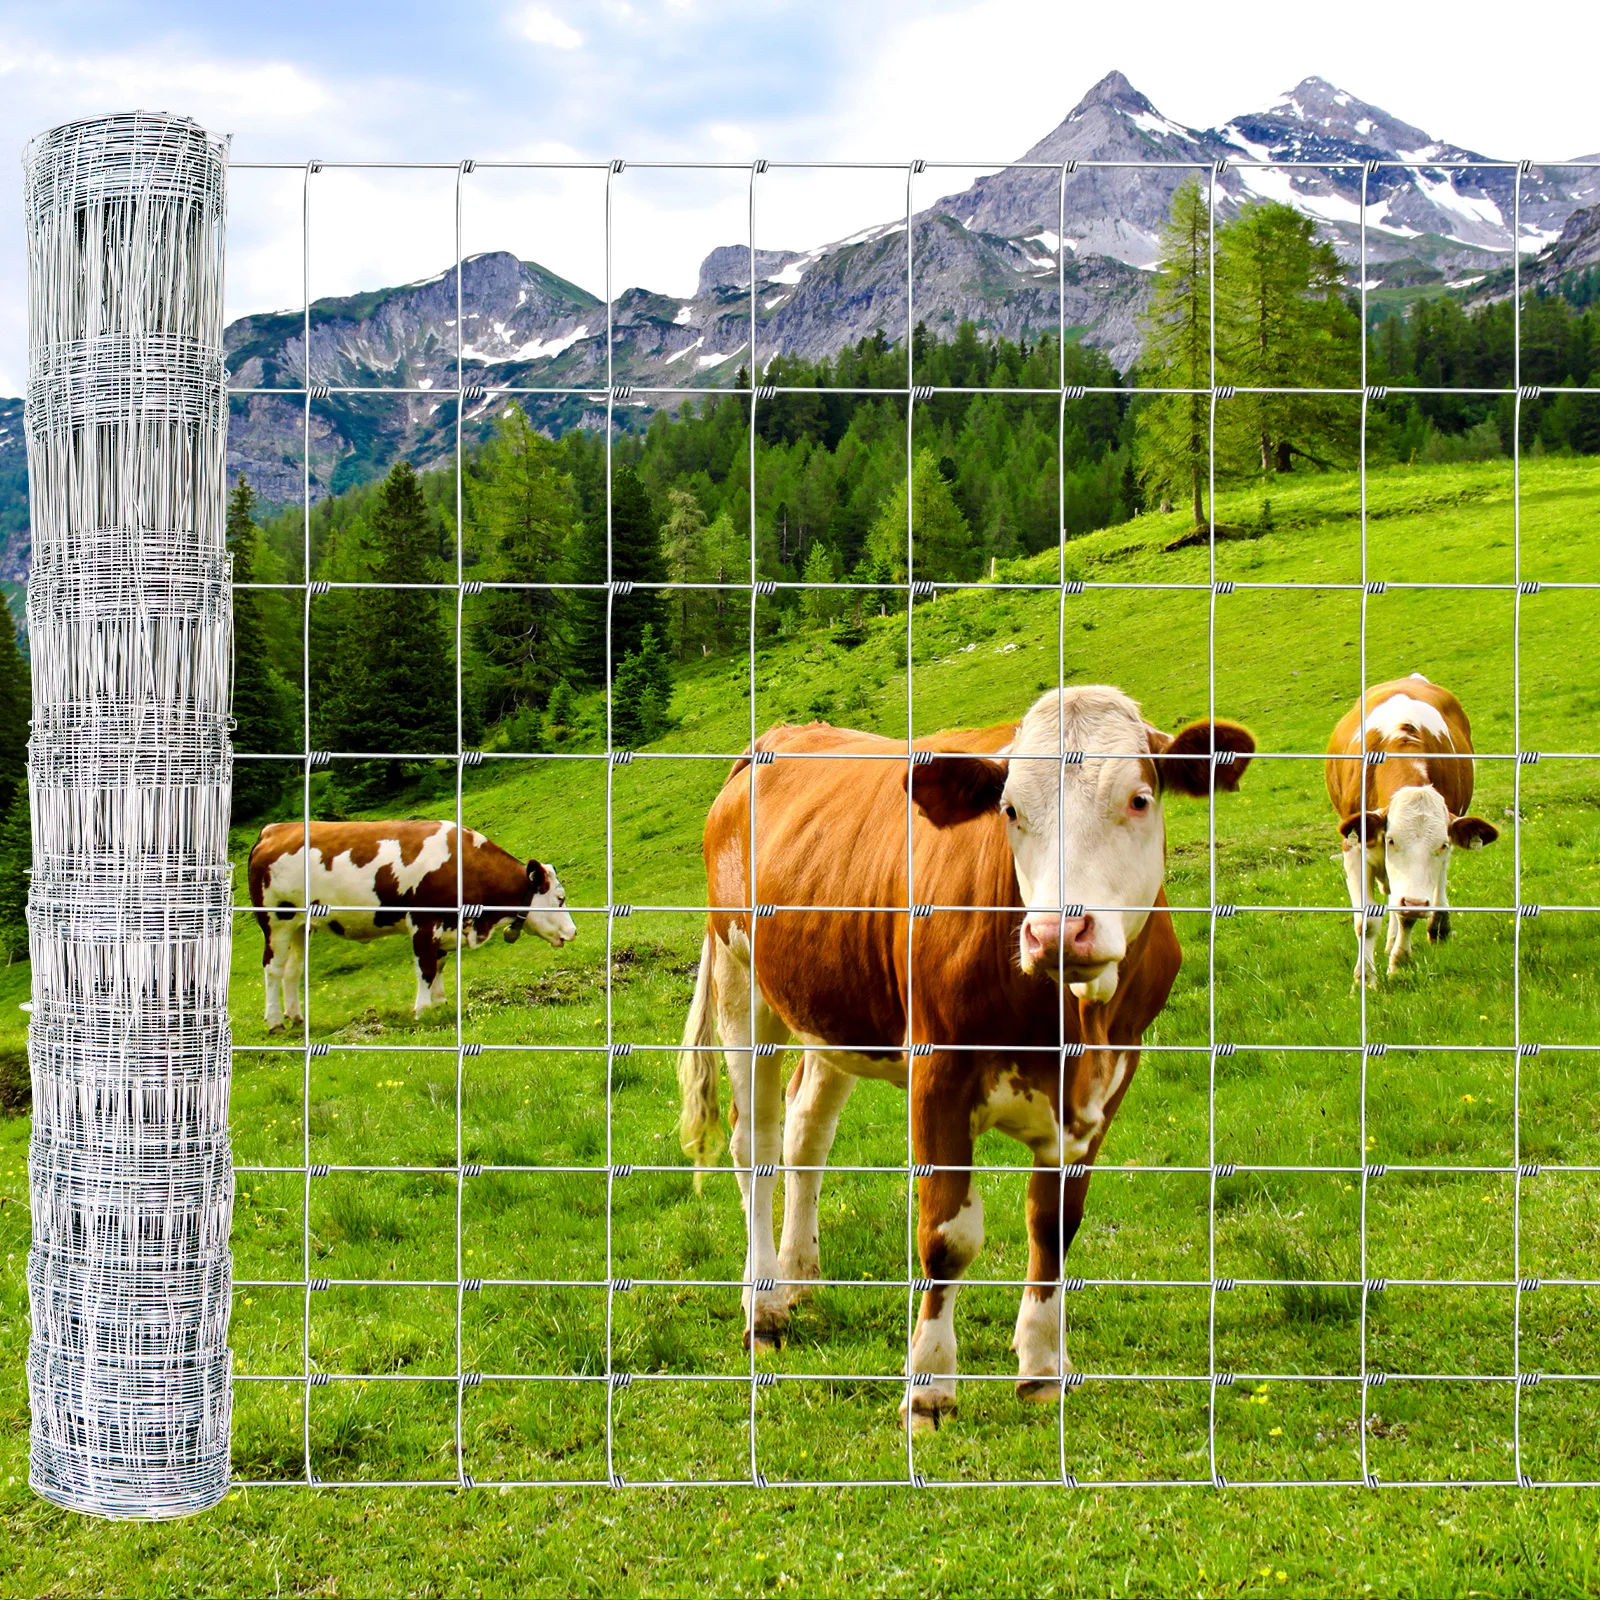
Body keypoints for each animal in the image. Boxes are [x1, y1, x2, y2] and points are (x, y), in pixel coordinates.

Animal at [248, 819, 577, 1030]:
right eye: (560, 898)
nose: (573, 932)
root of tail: (273, 830)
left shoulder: (445, 926)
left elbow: (440, 964)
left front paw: (440, 1002)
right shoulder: (423, 921)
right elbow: (426, 968)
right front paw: (422, 1010)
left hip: (300, 926)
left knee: (292, 970)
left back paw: (296, 1017)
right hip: (275, 920)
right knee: (272, 969)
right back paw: (275, 1022)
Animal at [674, 686, 1255, 1430]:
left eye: (1139, 799)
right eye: (1010, 810)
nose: (1056, 931)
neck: (1068, 1023)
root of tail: (779, 734)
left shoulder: (1107, 1082)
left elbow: (1054, 1224)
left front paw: (1042, 1367)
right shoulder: (938, 1075)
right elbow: (946, 1237)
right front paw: (929, 1390)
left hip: (831, 1004)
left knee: (808, 1132)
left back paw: (800, 1276)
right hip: (741, 978)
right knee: (758, 1145)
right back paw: (765, 1306)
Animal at [1326, 675, 1499, 987]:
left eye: (1442, 844)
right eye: (1392, 840)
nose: (1417, 902)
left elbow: (1407, 914)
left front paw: (1399, 962)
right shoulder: (1354, 848)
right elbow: (1366, 921)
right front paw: (1365, 978)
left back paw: (1437, 926)